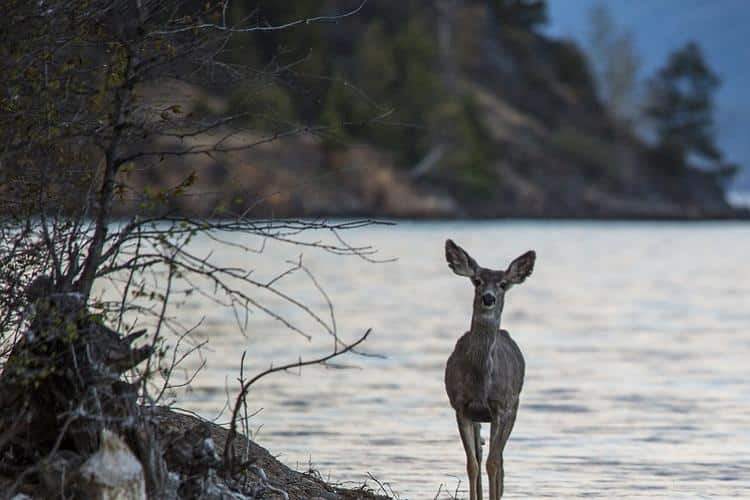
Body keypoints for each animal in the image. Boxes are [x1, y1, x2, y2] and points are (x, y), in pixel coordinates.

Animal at [446, 240, 536, 498]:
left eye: (503, 284)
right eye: (476, 280)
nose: (488, 298)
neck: (480, 383)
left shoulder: (501, 406)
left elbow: (494, 463)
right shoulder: (461, 406)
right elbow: (473, 464)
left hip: (514, 406)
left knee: (500, 460)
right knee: (481, 454)